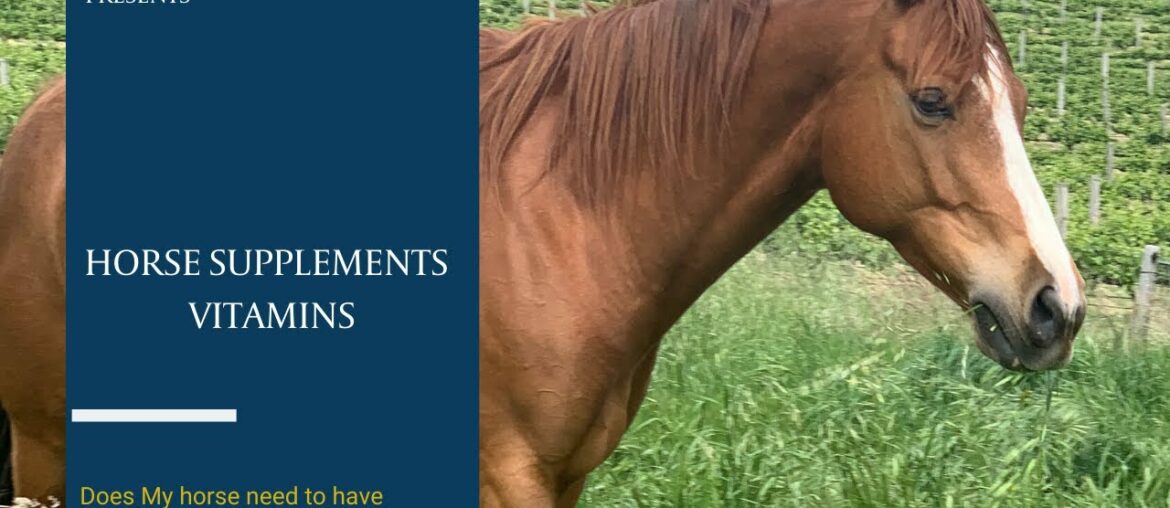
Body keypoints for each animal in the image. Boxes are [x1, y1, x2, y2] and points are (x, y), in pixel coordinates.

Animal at [478, 0, 1086, 505]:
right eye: (932, 101)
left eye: (1022, 104)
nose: (1060, 308)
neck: (555, 218)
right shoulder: (514, 476)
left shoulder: (569, 476)